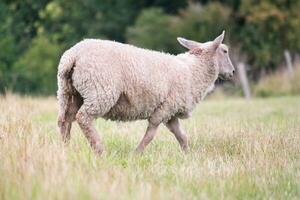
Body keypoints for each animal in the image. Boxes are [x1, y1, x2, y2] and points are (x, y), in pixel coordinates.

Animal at [56, 30, 234, 155]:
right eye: (225, 51)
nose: (232, 72)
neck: (193, 71)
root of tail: (73, 55)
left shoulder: (171, 112)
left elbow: (181, 136)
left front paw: (187, 155)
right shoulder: (164, 109)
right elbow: (150, 135)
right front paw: (136, 154)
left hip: (69, 92)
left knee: (65, 120)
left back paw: (65, 149)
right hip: (100, 91)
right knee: (83, 118)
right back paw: (100, 151)